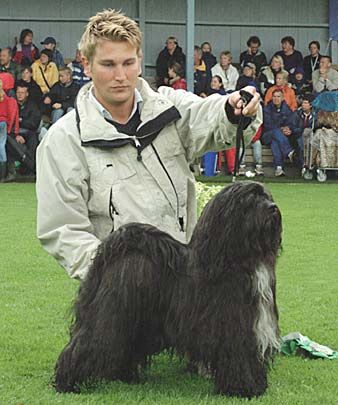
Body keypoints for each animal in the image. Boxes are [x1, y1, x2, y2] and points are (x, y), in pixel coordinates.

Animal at [54, 181, 282, 396]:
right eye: (249, 200)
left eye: (267, 196)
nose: (273, 207)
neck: (241, 258)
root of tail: (115, 250)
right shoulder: (234, 330)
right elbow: (238, 358)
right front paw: (243, 389)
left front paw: (258, 385)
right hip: (111, 317)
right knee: (87, 344)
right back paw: (66, 383)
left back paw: (125, 377)